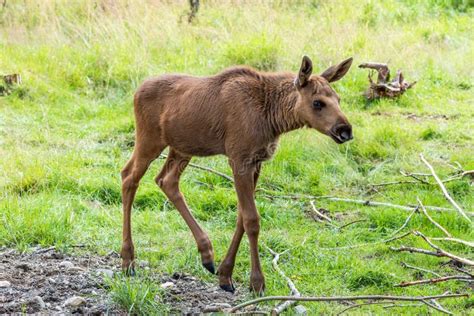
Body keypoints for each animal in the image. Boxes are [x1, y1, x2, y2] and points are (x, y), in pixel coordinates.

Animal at [120, 55, 354, 294]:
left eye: (338, 99)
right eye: (317, 102)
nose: (345, 130)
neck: (274, 118)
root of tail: (136, 92)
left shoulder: (257, 162)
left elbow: (242, 216)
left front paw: (225, 274)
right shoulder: (239, 159)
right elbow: (252, 219)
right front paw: (257, 282)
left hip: (182, 148)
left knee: (166, 180)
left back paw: (206, 254)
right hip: (149, 140)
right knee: (128, 177)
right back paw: (128, 259)